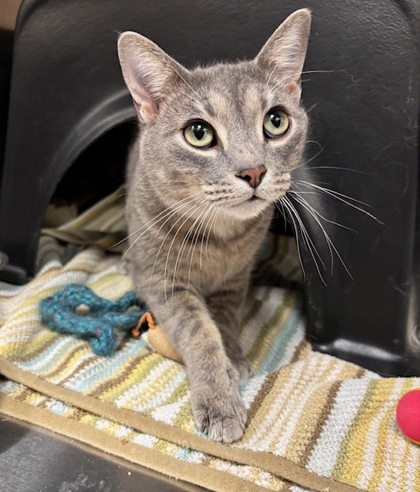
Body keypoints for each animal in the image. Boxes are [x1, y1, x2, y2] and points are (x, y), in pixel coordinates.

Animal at [118, 9, 312, 444]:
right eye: (199, 132)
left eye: (276, 121)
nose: (253, 171)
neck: (219, 239)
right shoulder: (160, 280)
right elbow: (199, 332)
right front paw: (219, 400)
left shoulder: (234, 280)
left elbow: (224, 319)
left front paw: (233, 357)